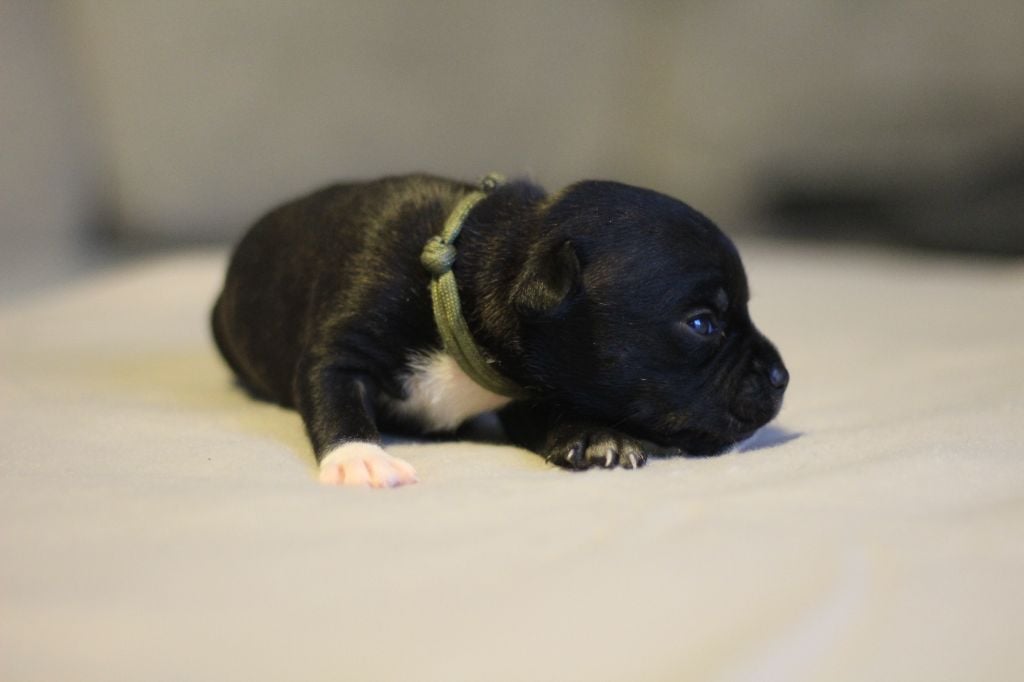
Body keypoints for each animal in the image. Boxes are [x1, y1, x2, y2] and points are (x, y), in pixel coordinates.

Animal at [212, 173, 788, 487]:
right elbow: (337, 397)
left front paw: (592, 436)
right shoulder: (344, 345)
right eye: (702, 323)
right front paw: (362, 459)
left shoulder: (530, 385)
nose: (783, 377)